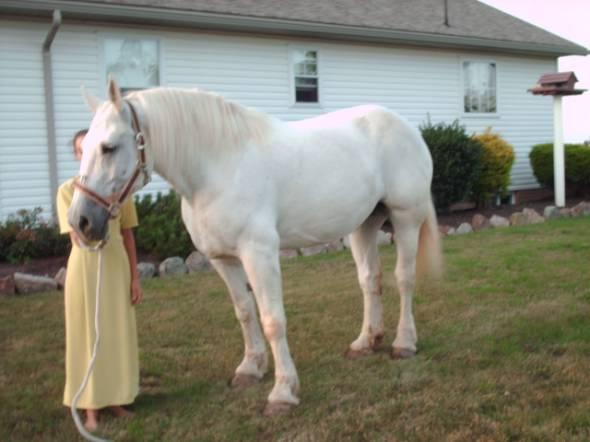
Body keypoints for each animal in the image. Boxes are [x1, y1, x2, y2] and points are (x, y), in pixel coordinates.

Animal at [69, 80, 444, 418]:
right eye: (83, 148)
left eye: (108, 147)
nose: (81, 221)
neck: (216, 167)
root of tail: (406, 126)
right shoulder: (222, 260)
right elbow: (245, 312)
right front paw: (250, 369)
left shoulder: (258, 254)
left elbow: (272, 319)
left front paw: (282, 392)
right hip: (363, 226)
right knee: (370, 280)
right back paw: (366, 342)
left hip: (405, 219)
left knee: (404, 279)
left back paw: (403, 344)